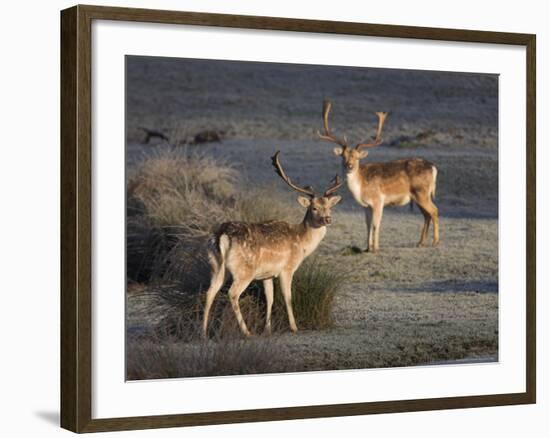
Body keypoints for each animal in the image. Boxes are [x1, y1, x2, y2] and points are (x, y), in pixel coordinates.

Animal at [203, 151, 342, 336]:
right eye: (314, 208)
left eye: (329, 207)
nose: (328, 219)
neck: (301, 243)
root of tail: (222, 235)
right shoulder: (287, 268)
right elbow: (287, 297)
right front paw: (294, 327)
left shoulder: (267, 274)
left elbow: (270, 298)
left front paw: (267, 329)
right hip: (244, 270)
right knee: (232, 293)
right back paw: (246, 332)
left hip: (216, 265)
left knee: (210, 292)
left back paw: (203, 333)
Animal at [320, 98, 440, 250]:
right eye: (343, 156)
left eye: (357, 157)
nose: (350, 166)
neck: (361, 188)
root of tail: (433, 167)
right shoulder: (366, 206)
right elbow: (367, 225)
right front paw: (367, 247)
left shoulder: (378, 200)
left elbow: (376, 225)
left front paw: (375, 248)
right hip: (419, 195)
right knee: (427, 215)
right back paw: (420, 242)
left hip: (421, 192)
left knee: (434, 211)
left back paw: (435, 241)